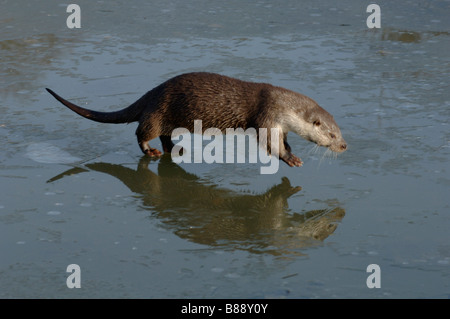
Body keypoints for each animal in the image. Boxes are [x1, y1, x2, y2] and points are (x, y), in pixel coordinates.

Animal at [46, 72, 348, 168]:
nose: (344, 146)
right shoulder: (266, 117)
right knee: (142, 132)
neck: (282, 107)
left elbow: (283, 141)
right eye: (331, 135)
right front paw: (290, 159)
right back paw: (152, 151)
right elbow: (270, 146)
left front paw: (291, 151)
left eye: (340, 131)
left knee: (164, 135)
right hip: (157, 112)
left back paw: (177, 149)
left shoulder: (280, 125)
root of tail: (151, 93)